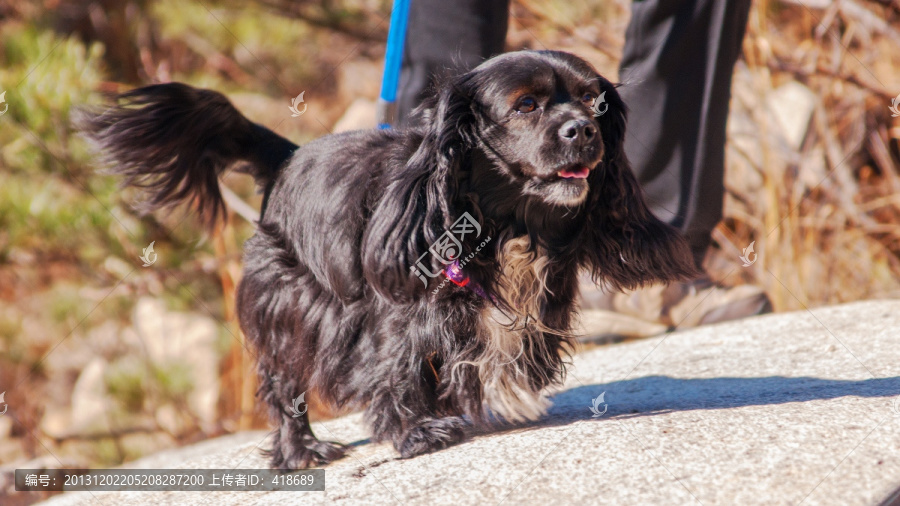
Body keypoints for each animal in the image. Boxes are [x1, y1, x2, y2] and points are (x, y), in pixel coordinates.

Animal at [79, 49, 696, 468]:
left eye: (595, 101)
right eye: (526, 105)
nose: (584, 130)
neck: (508, 223)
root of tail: (289, 156)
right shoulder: (391, 315)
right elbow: (394, 367)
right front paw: (415, 433)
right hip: (291, 306)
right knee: (283, 385)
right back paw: (301, 451)